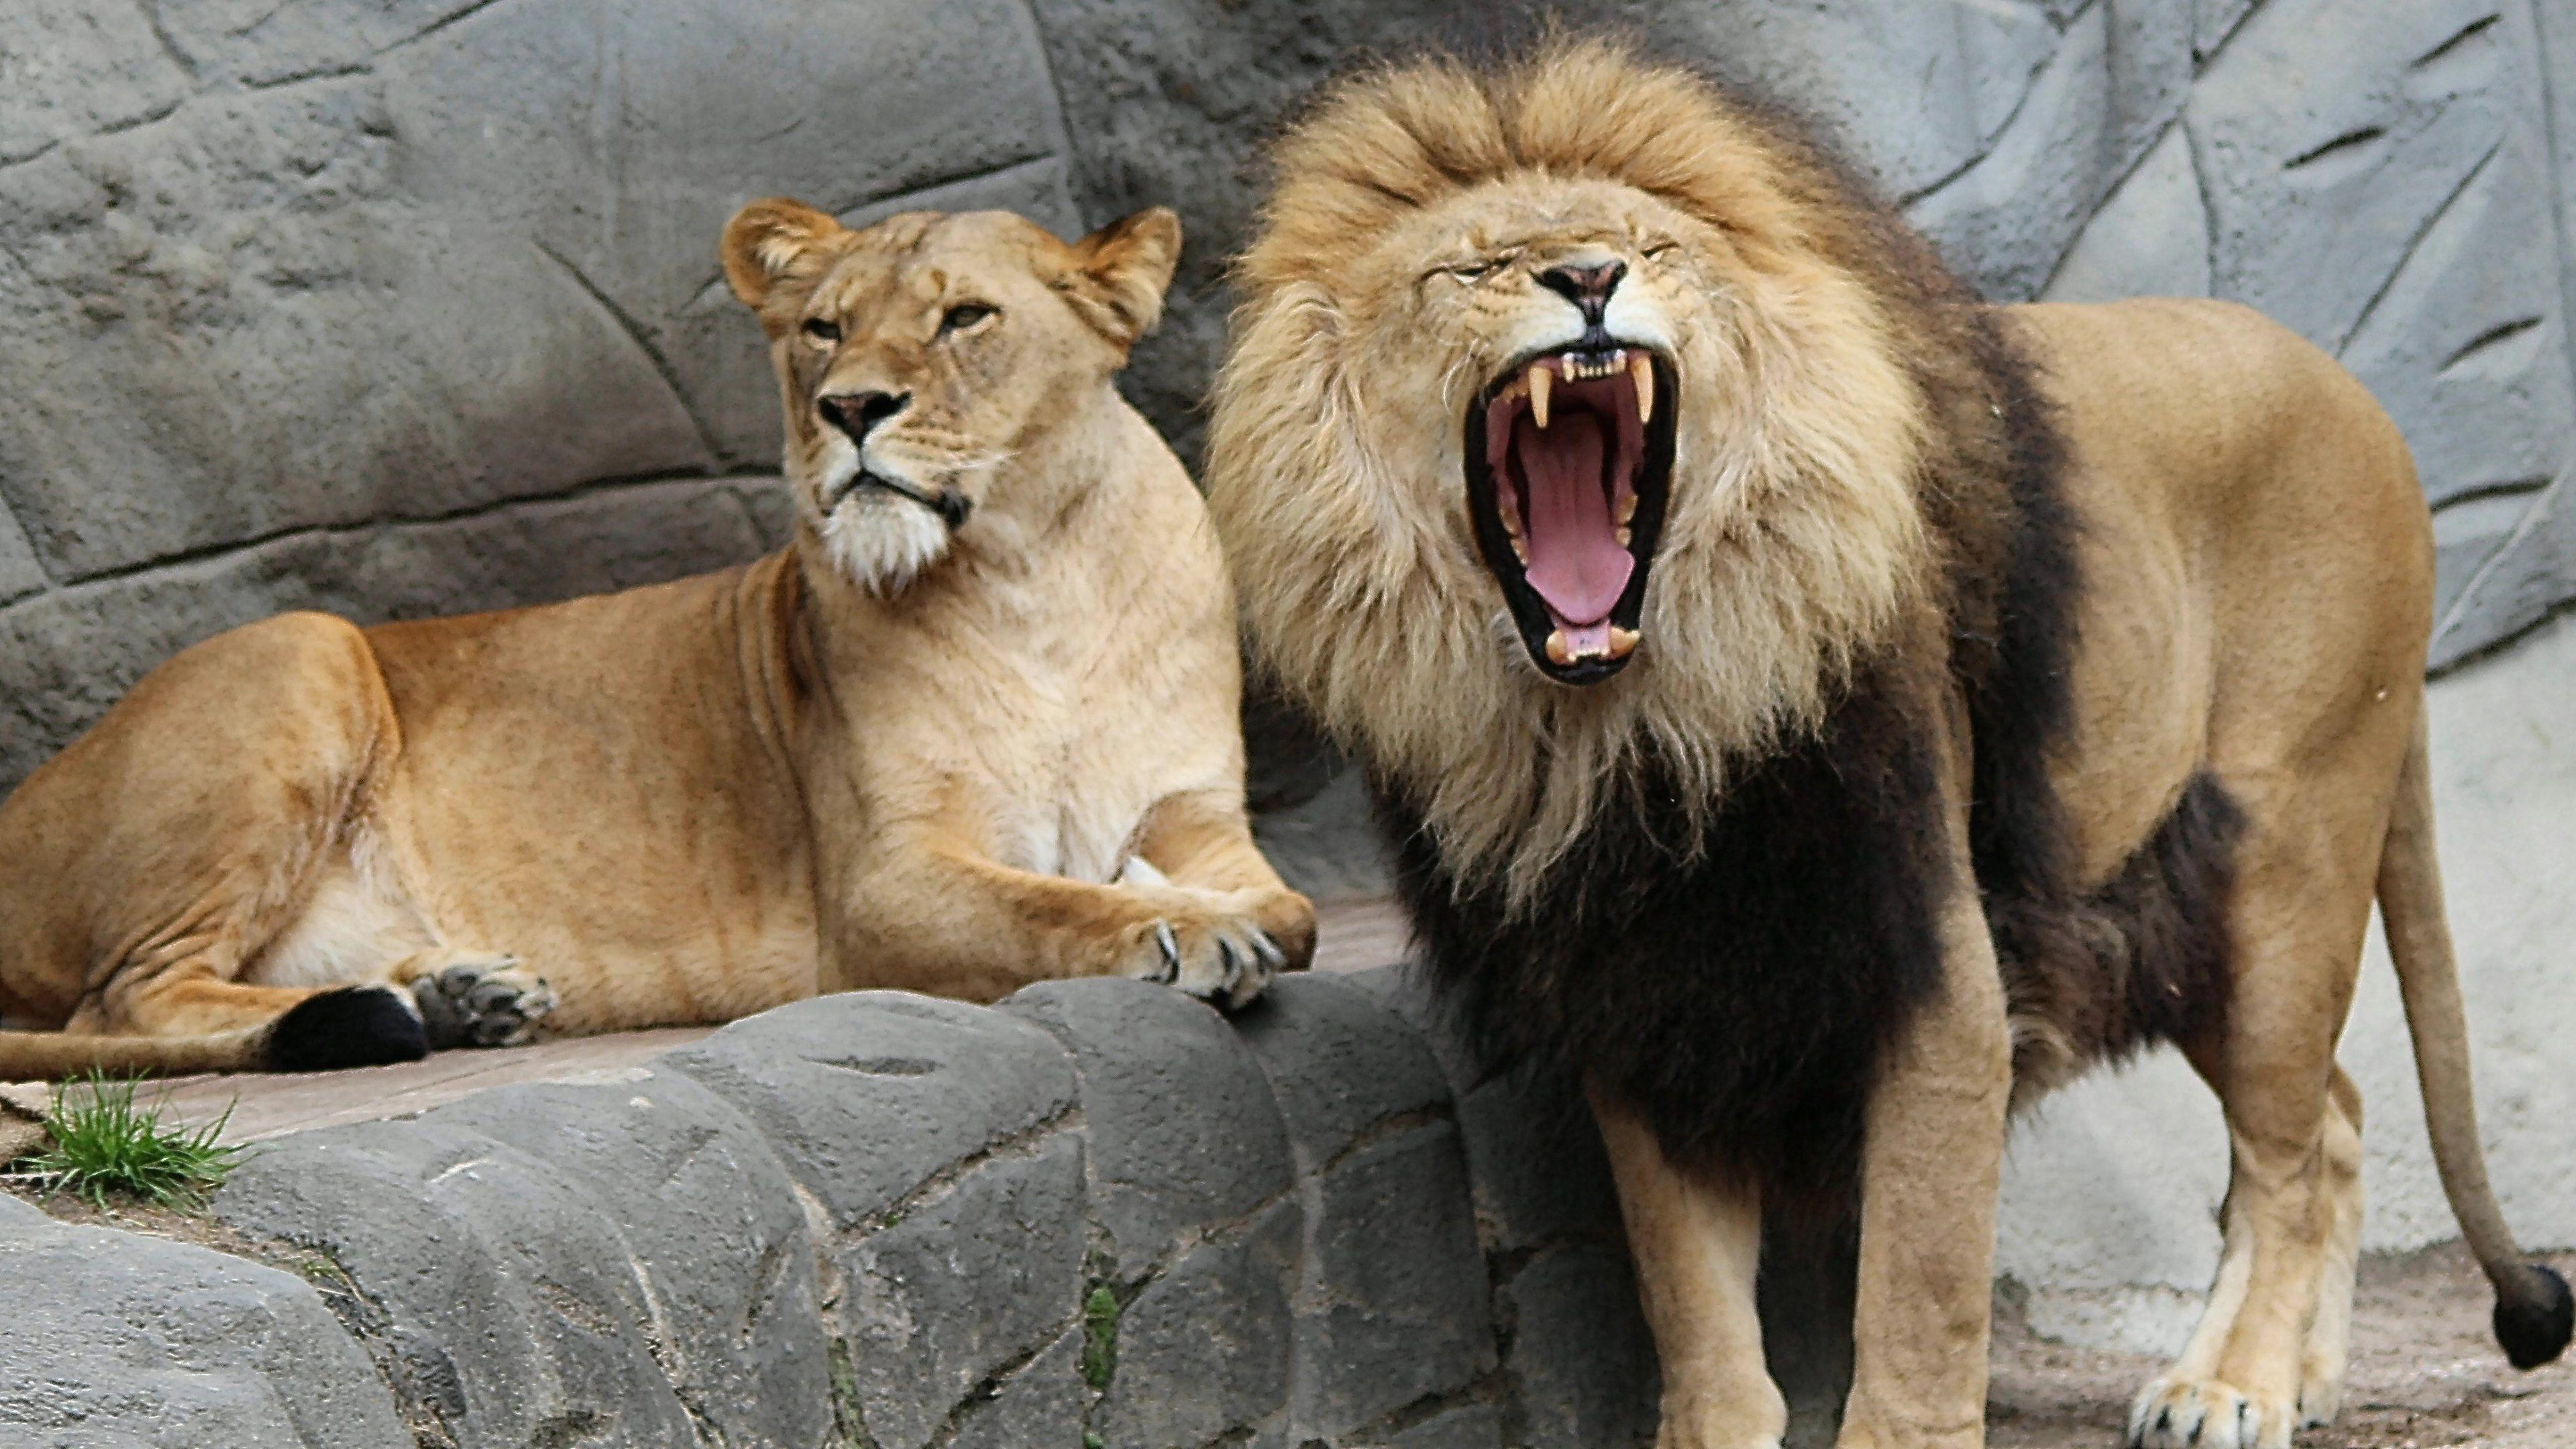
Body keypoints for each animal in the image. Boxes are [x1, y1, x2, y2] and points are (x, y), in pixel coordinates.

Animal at [0, 199, 1314, 1080]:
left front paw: (1202, 907)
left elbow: (1292, 910)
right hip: (299, 650)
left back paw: (459, 994)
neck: (1040, 581)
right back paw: (397, 1012)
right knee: (123, 1008)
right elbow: (1056, 907)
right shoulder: (881, 886)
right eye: (824, 330)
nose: (850, 409)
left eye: (964, 318)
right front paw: (1184, 929)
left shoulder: (1201, 815)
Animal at [1204, 40, 2569, 1449]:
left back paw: (2231, 1385)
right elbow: (1688, 1288)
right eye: (1472, 269)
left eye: (1651, 246)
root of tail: (2361, 398)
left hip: (2279, 862)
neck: (1635, 733)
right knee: (2337, 1121)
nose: (1587, 281)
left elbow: (1918, 1283)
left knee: (2290, 1150)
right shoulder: (1642, 986)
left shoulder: (1935, 963)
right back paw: (2302, 1377)